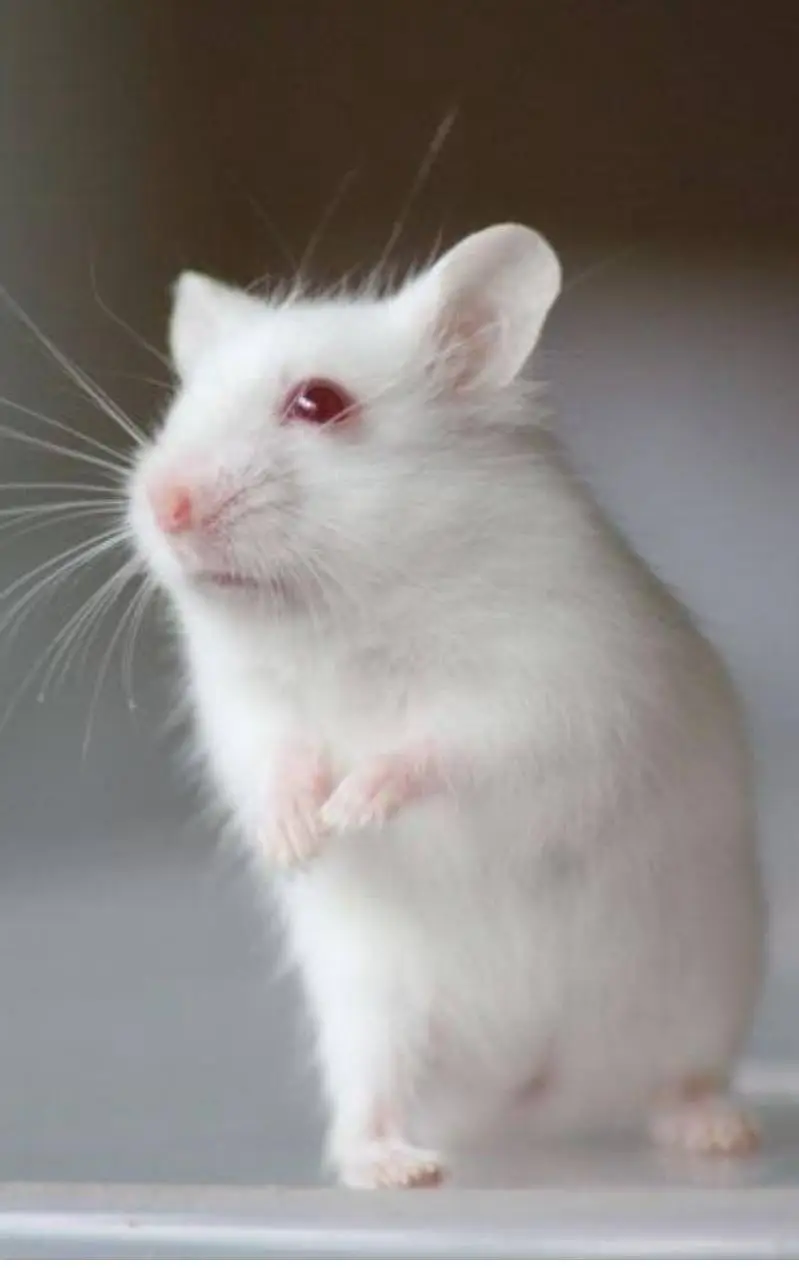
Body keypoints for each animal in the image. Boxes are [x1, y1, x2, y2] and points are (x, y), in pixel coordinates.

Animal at [128, 223, 765, 1189]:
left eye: (318, 401)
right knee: (367, 1105)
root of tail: (535, 1097)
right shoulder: (246, 712)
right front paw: (300, 841)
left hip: (696, 999)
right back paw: (399, 1168)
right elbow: (277, 763)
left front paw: (351, 807)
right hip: (372, 1012)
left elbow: (439, 747)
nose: (162, 504)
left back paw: (721, 1133)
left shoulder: (544, 693)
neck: (348, 612)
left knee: (674, 1087)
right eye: (180, 405)